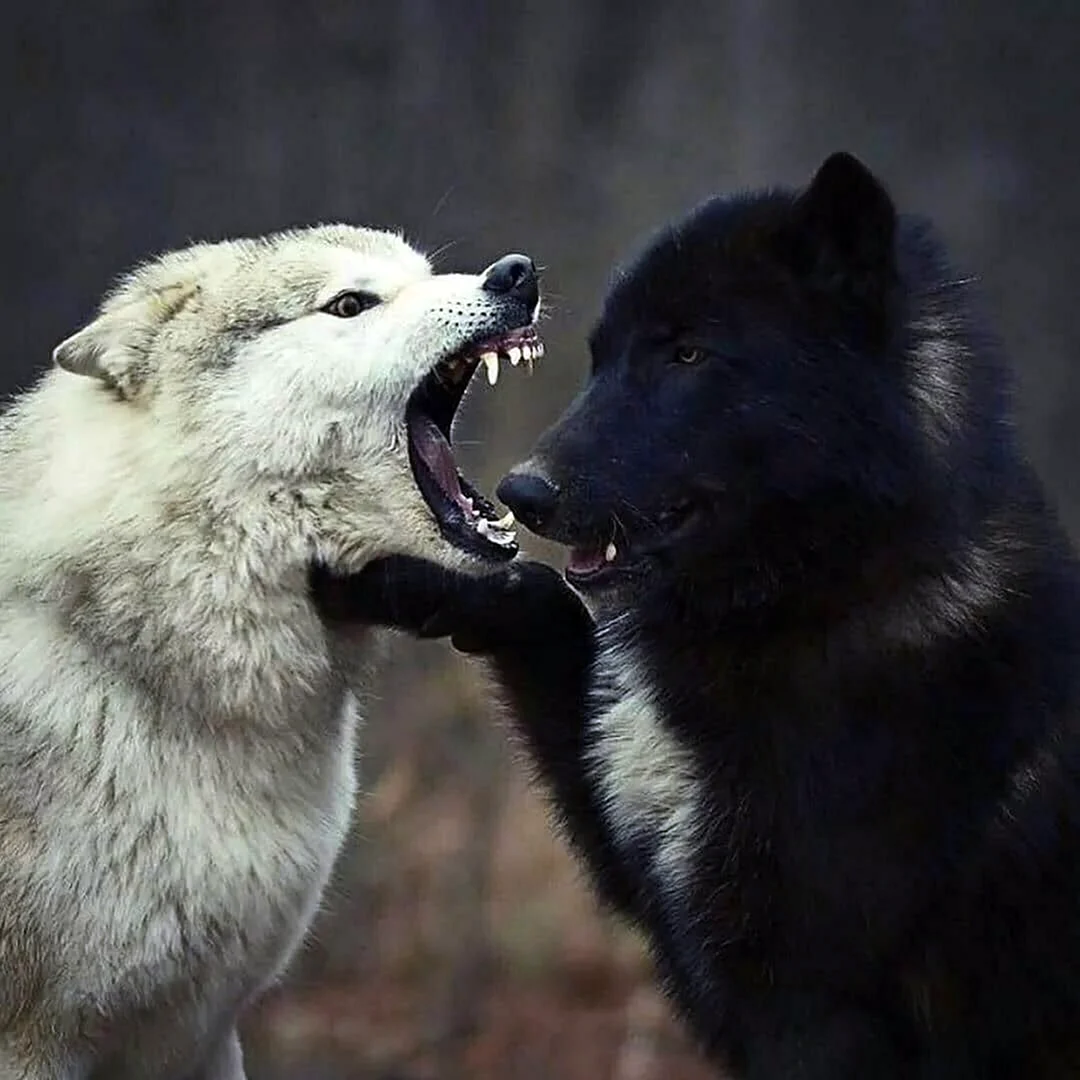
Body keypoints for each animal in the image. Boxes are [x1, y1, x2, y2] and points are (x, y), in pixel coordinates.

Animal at [313, 155, 1080, 1078]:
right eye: (601, 360)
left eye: (687, 353)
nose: (521, 493)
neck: (820, 599)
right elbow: (540, 598)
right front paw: (392, 583)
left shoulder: (809, 1009)